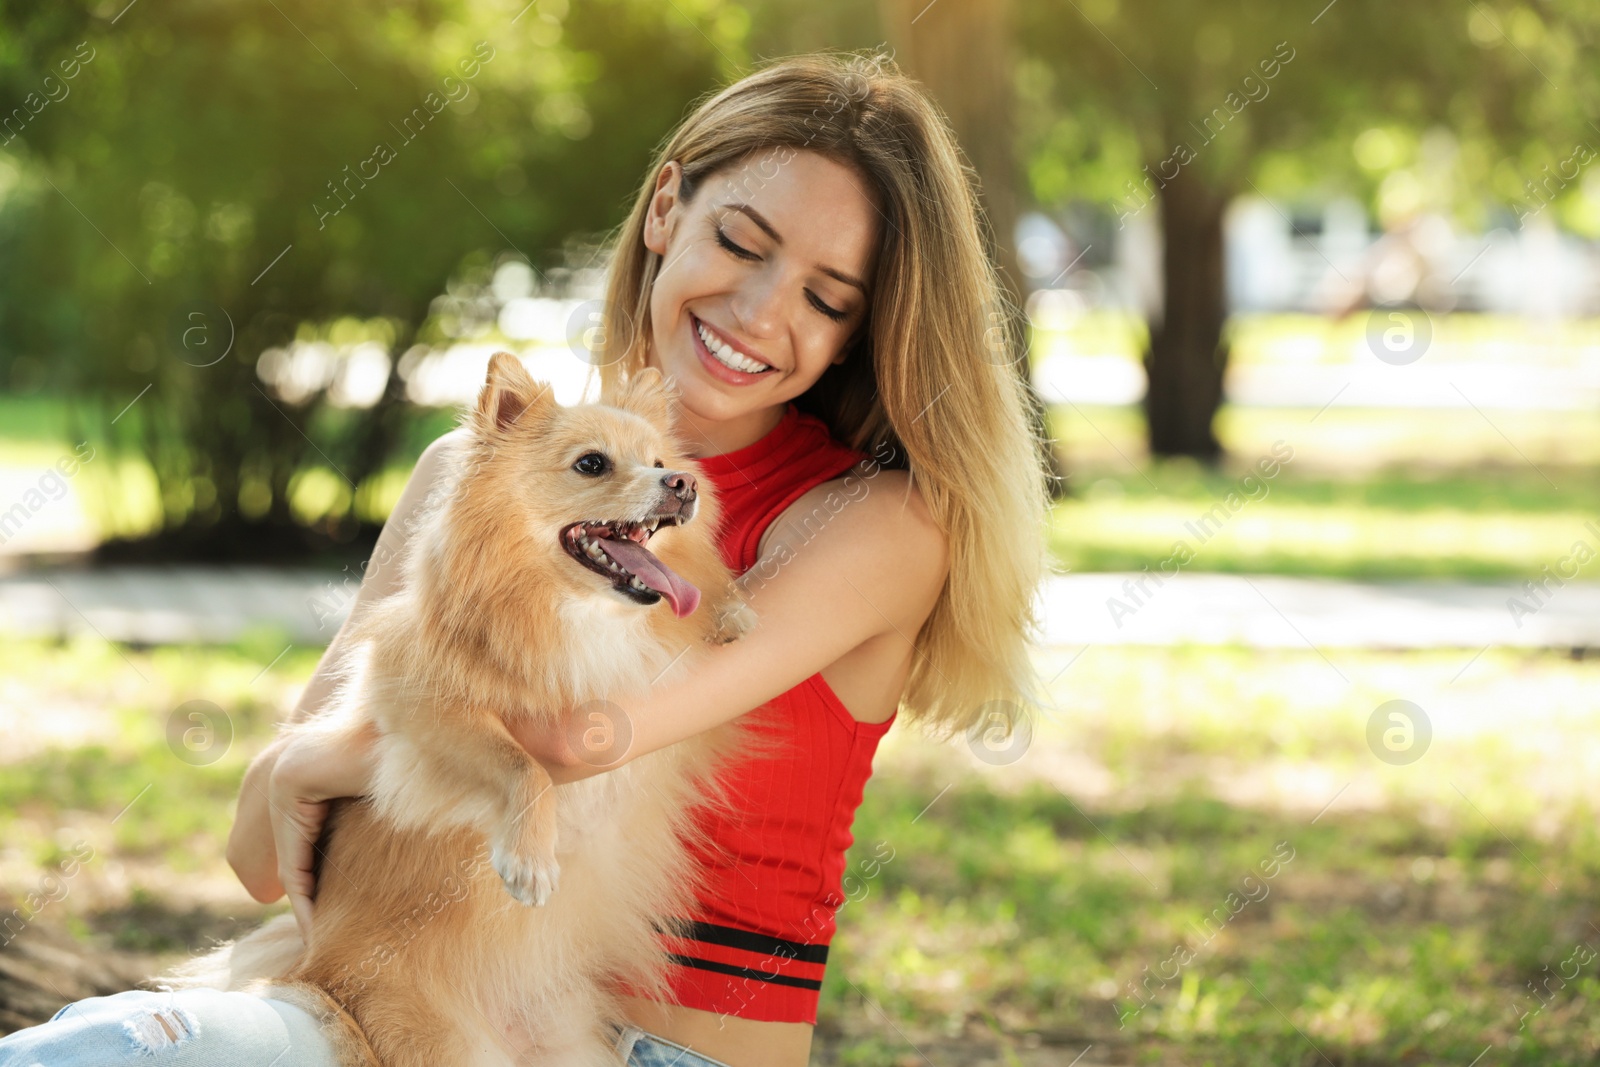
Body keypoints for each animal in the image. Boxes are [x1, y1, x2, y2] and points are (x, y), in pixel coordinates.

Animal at [159, 355, 758, 1062]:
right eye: (592, 464)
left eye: (662, 460)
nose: (682, 483)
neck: (575, 614)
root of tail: (318, 969)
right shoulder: (412, 704)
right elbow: (521, 761)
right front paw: (528, 856)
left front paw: (731, 612)